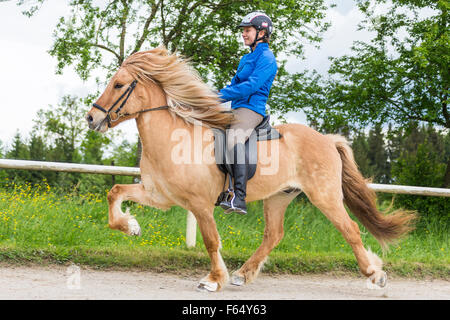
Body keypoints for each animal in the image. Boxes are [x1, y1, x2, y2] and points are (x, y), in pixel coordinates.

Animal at [84, 45, 414, 292]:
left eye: (119, 84)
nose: (91, 118)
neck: (173, 140)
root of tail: (327, 140)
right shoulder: (158, 195)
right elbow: (115, 192)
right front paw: (131, 226)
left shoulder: (200, 204)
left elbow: (211, 240)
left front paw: (214, 280)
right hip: (279, 197)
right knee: (274, 234)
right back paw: (243, 273)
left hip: (325, 196)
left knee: (350, 230)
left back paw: (375, 274)